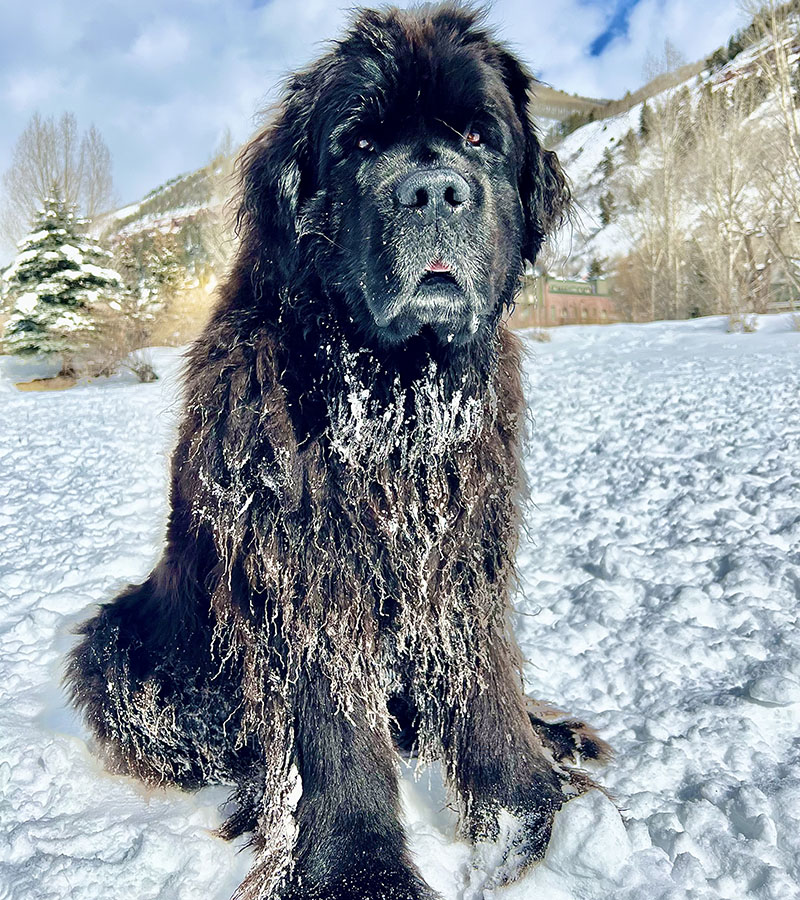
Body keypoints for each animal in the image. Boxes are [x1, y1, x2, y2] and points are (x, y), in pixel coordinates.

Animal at [67, 7, 608, 900]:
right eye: (357, 143)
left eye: (477, 135)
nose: (433, 189)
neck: (392, 399)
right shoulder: (305, 574)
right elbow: (333, 730)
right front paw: (359, 870)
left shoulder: (464, 557)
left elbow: (482, 680)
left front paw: (528, 814)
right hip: (119, 649)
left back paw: (555, 735)